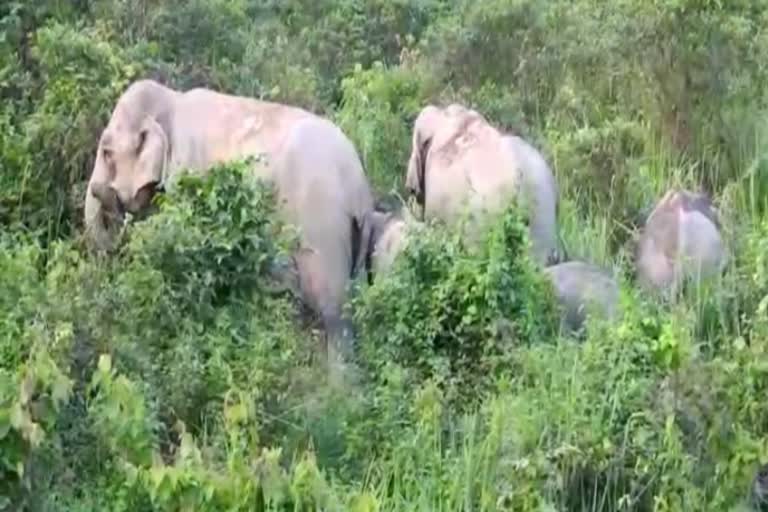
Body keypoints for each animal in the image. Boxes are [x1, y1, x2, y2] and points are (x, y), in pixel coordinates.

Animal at [82, 79, 376, 368]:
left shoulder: (188, 173)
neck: (170, 100)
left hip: (321, 227)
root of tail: (358, 186)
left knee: (332, 309)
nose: (101, 189)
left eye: (107, 153)